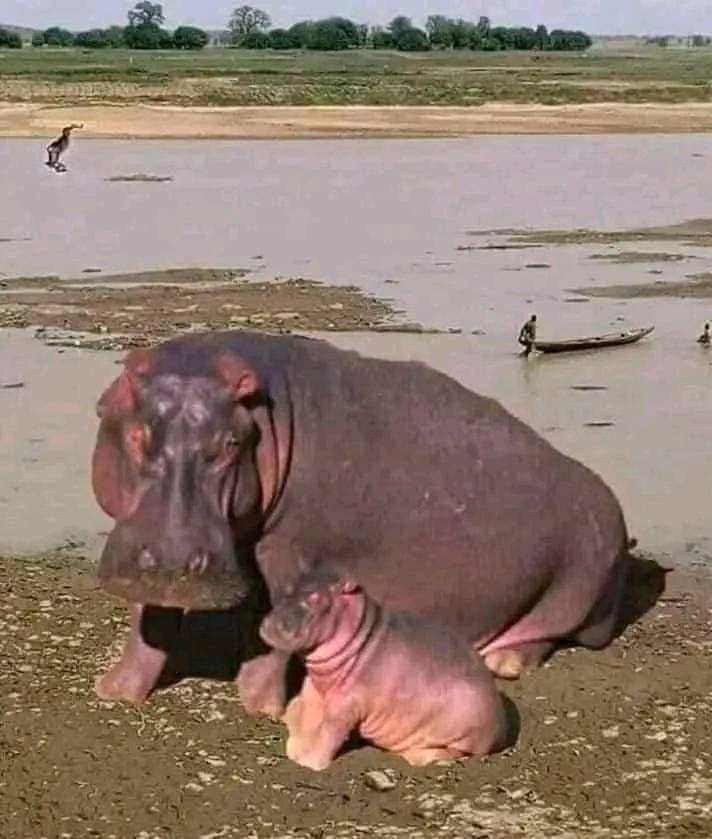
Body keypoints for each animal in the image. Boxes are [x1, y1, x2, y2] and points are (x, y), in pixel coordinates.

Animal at [91, 330, 630, 714]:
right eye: (137, 434)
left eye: (230, 443)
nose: (173, 562)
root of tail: (609, 498)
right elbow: (147, 621)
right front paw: (113, 691)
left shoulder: (290, 552)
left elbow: (273, 632)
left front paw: (261, 708)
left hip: (583, 583)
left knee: (553, 630)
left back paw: (504, 662)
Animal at [260, 569, 508, 769]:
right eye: (288, 586)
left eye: (315, 598)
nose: (269, 624)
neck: (359, 633)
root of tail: (502, 722)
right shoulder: (314, 686)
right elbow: (309, 713)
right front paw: (295, 747)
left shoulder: (348, 702)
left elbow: (331, 730)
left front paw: (309, 763)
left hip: (459, 732)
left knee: (450, 752)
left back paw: (415, 757)